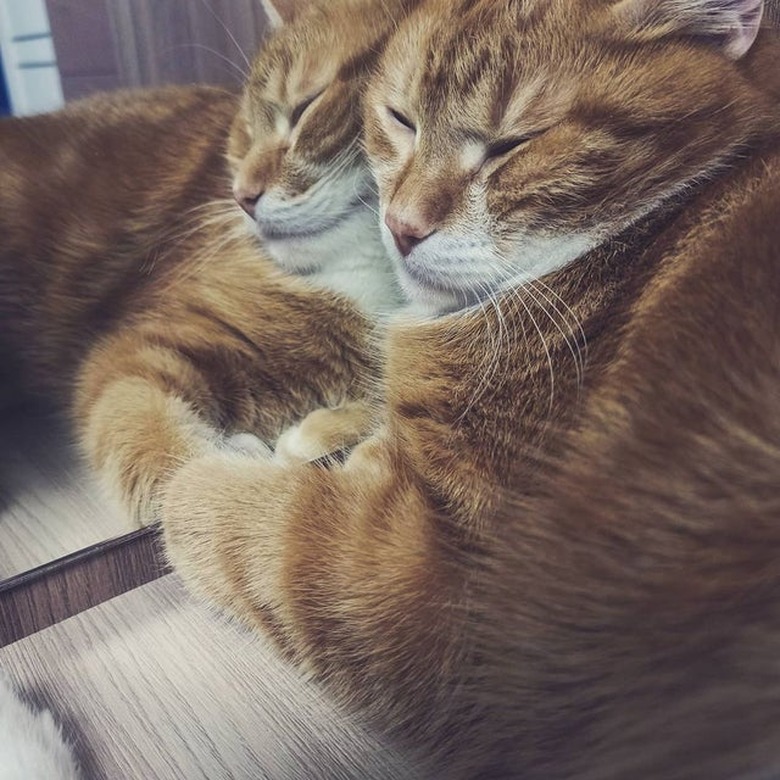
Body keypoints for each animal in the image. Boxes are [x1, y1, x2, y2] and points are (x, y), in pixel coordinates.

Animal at [161, 3, 780, 776]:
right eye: (400, 119)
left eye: (515, 145)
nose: (400, 228)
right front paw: (326, 432)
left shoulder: (435, 585)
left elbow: (236, 517)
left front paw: (211, 466)